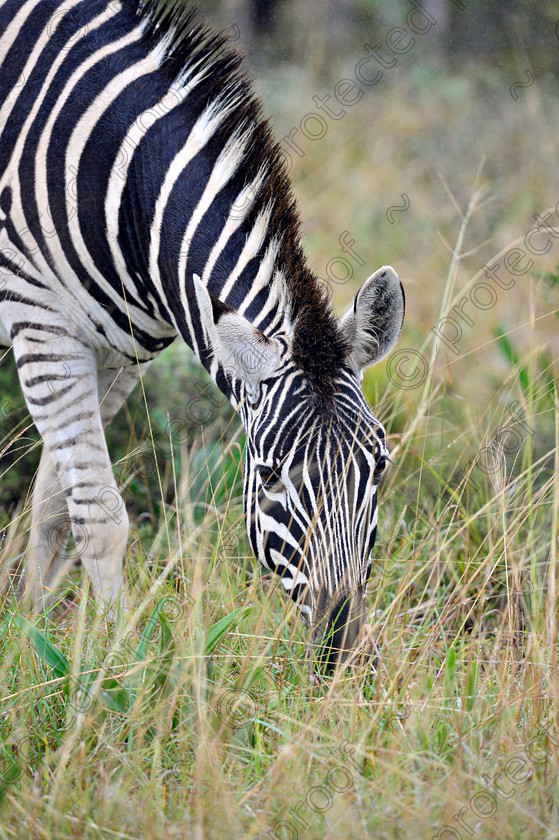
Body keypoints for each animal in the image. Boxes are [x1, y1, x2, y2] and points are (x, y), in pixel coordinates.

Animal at [1, 0, 406, 668]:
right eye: (269, 477)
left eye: (378, 465)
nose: (343, 650)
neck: (122, 182)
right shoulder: (43, 323)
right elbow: (99, 513)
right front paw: (119, 666)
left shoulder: (118, 351)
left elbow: (54, 506)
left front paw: (27, 634)